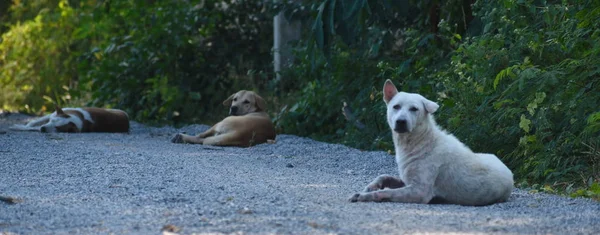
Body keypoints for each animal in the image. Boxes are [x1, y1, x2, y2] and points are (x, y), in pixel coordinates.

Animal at [350, 79, 512, 206]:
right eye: (396, 106)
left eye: (414, 109)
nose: (401, 122)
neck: (419, 142)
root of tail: (510, 173)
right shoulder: (407, 181)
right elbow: (383, 176)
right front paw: (370, 187)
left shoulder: (419, 191)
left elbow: (386, 193)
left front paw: (364, 195)